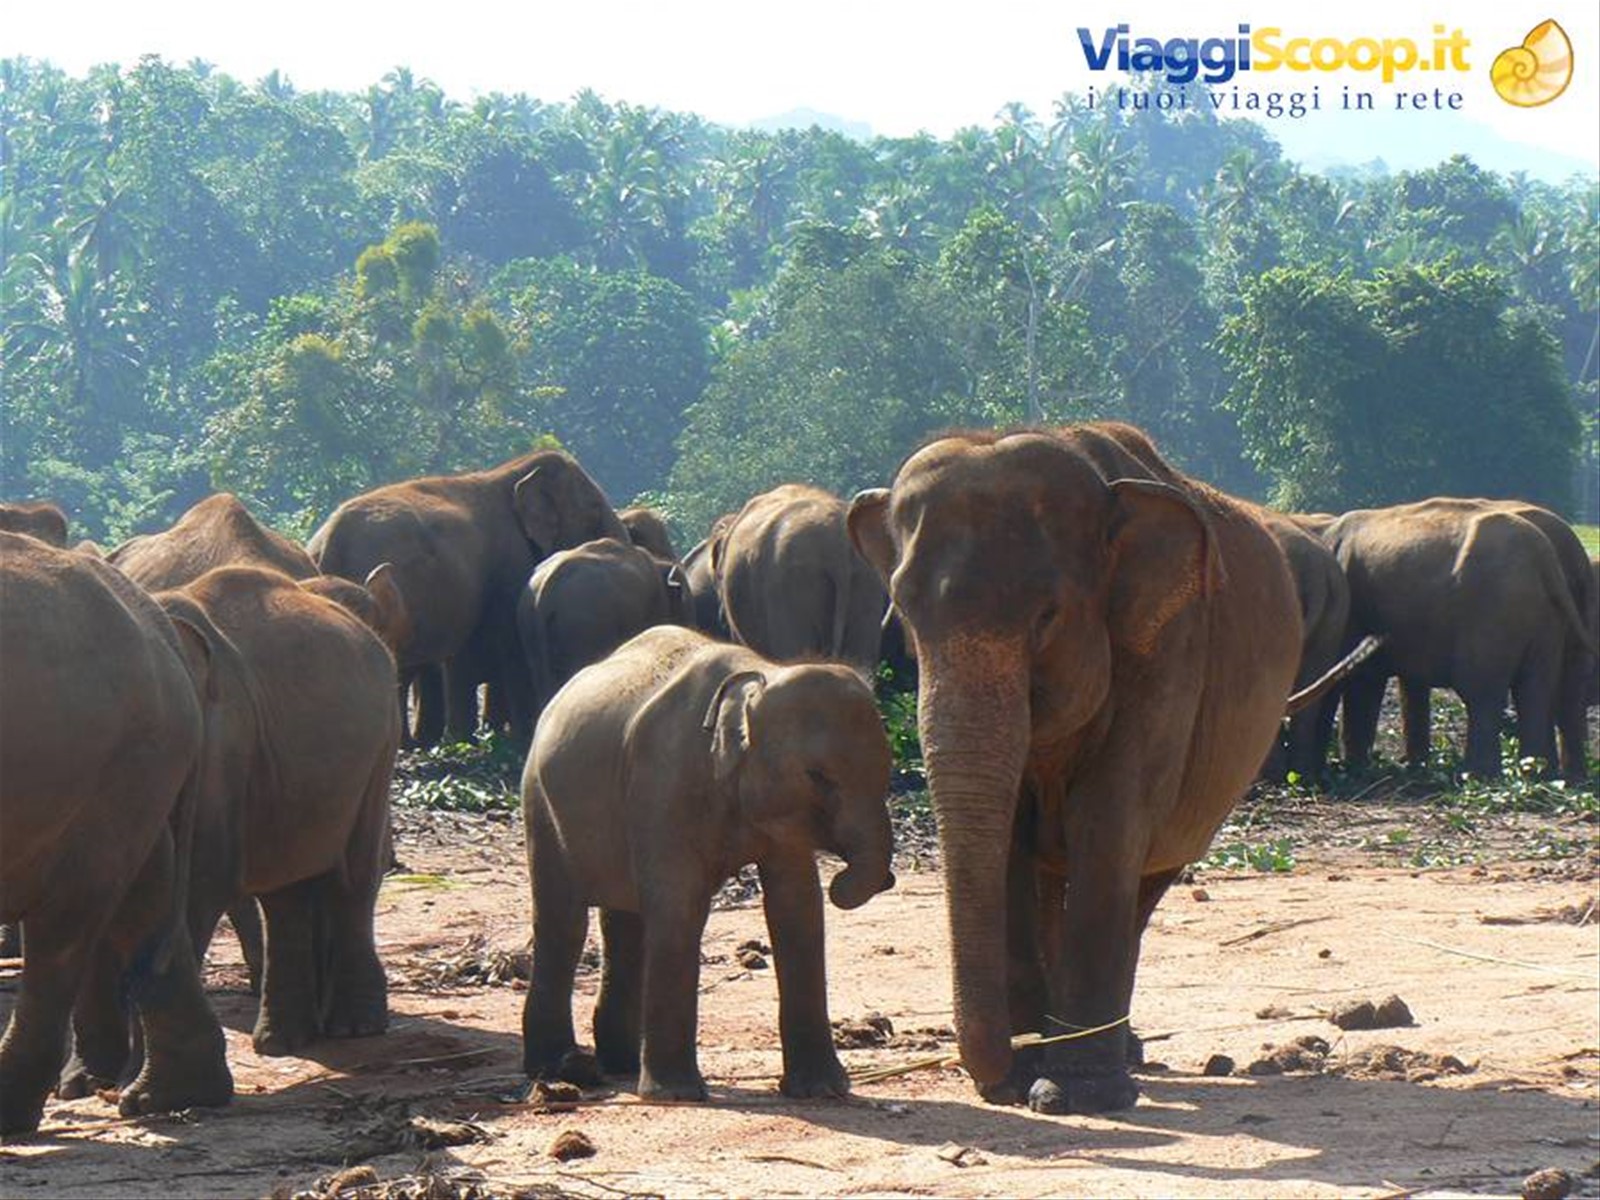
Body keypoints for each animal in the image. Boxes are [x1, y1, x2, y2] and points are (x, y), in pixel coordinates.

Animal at [0, 533, 231, 1135]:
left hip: (115, 769)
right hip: (129, 772)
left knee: (66, 925)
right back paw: (176, 1095)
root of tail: (154, 621)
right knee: (144, 900)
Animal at [309, 449, 627, 746]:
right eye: (594, 510)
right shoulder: (508, 566)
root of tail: (327, 544)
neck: (513, 473)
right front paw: (515, 739)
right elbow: (509, 643)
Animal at [521, 625, 896, 1101]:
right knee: (564, 921)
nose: (883, 879)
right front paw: (676, 1095)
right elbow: (679, 907)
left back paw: (621, 1064)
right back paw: (562, 1068)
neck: (762, 674)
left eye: (888, 769)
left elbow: (798, 908)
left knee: (624, 923)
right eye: (817, 776)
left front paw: (821, 1091)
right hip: (539, 803)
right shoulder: (663, 781)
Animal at [847, 421, 1303, 1115]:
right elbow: (1008, 834)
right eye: (903, 616)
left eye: (1047, 616)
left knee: (1143, 881)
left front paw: (1075, 1094)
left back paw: (1113, 1056)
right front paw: (1021, 1082)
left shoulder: (1167, 650)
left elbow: (1109, 820)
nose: (998, 1073)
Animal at [1322, 498, 1598, 780]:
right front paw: (1410, 767)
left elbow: (1361, 678)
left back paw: (1478, 775)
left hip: (1493, 613)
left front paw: (1355, 768)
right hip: (1547, 616)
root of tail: (1545, 553)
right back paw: (1544, 775)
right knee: (1539, 690)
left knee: (1482, 690)